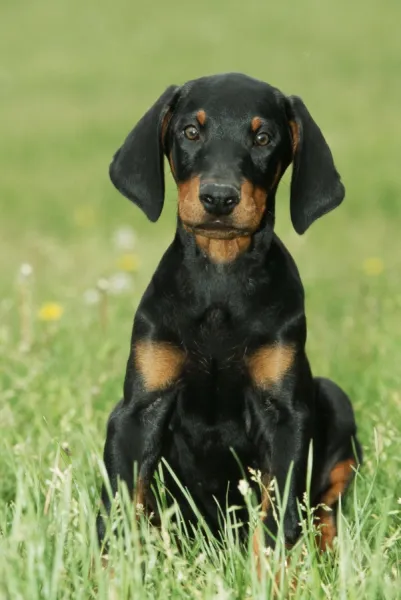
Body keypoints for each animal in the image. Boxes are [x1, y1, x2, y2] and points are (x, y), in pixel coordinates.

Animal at [97, 74, 362, 552]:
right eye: (190, 131)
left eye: (263, 138)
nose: (219, 198)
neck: (220, 278)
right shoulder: (136, 411)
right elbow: (120, 510)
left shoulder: (285, 417)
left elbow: (277, 522)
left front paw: (272, 570)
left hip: (334, 399)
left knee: (326, 508)